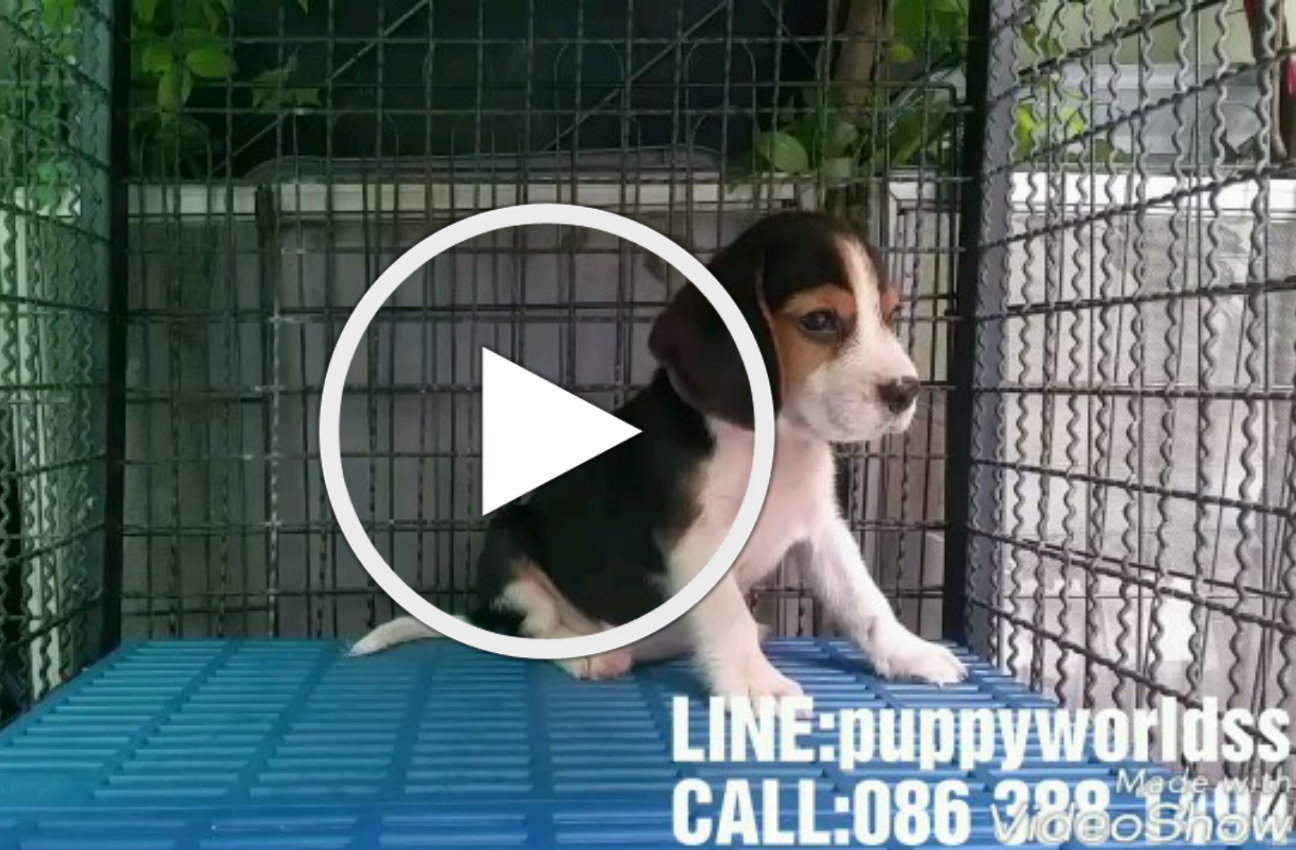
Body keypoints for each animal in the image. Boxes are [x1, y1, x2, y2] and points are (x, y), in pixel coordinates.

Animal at [351, 211, 967, 698]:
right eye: (818, 321)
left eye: (891, 314)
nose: (907, 391)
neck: (772, 440)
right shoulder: (696, 540)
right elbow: (728, 615)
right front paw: (756, 686)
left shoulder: (821, 529)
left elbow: (865, 601)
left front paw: (909, 653)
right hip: (508, 540)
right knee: (534, 628)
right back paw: (589, 650)